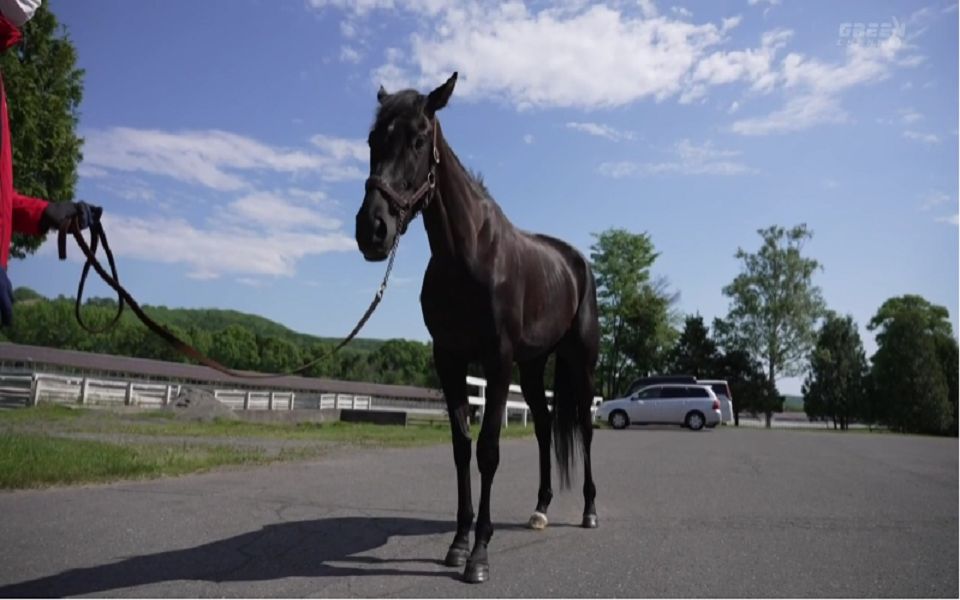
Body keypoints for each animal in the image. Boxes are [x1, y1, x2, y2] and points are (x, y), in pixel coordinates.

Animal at [356, 72, 596, 584]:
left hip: (579, 363)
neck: (467, 256)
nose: (373, 230)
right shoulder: (449, 358)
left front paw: (479, 555)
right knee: (544, 426)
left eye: (419, 139)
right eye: (372, 140)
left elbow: (488, 450)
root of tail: (576, 263)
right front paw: (458, 542)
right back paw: (540, 509)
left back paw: (589, 510)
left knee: (585, 429)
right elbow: (461, 447)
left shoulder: (496, 359)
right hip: (534, 365)